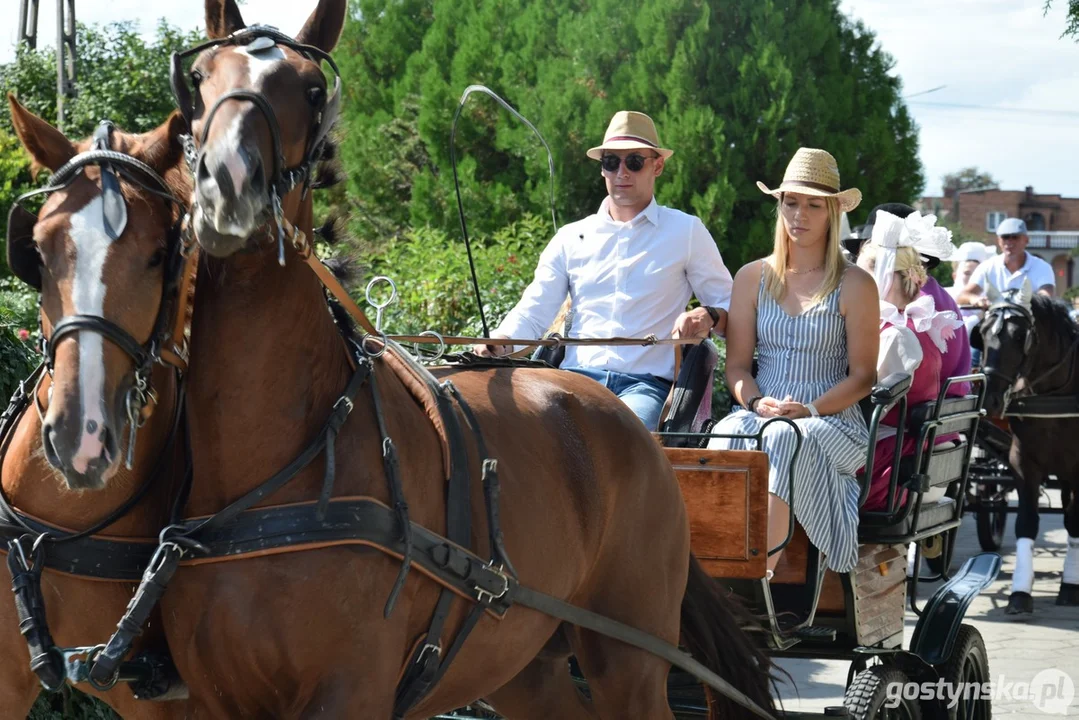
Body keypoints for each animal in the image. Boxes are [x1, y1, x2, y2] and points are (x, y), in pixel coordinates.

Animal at [29, 1, 776, 720]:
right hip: (524, 665)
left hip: (629, 658)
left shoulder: (348, 693)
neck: (268, 472)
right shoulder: (211, 699)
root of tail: (627, 423)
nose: (226, 184)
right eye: (201, 79)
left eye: (310, 89)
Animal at [979, 280, 1079, 613]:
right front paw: (1020, 593)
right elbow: (1026, 522)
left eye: (1020, 336)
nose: (990, 399)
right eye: (981, 331)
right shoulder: (1023, 461)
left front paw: (1070, 586)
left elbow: (1074, 522)